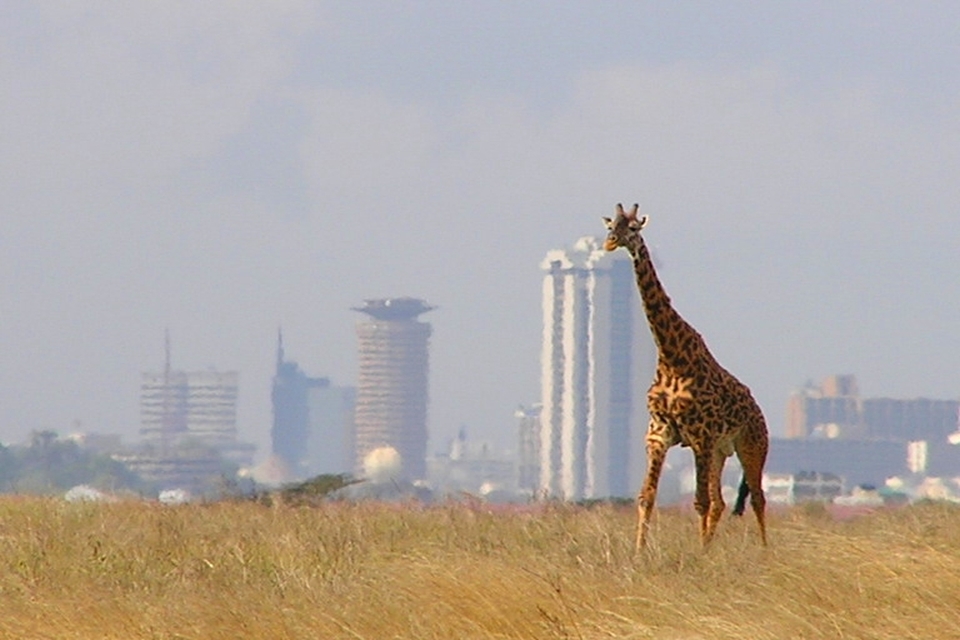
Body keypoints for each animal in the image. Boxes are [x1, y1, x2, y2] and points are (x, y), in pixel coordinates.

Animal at [604, 204, 768, 552]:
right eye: (611, 226)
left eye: (634, 228)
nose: (610, 243)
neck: (671, 357)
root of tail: (757, 408)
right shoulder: (659, 434)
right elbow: (646, 497)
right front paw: (639, 553)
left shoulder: (700, 435)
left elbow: (699, 502)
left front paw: (700, 555)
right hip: (721, 450)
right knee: (721, 502)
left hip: (751, 445)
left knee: (758, 498)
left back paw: (764, 551)